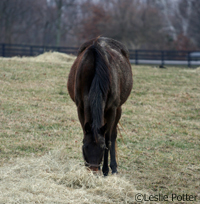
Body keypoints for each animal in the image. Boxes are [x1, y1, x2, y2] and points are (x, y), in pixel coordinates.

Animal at [67, 36, 133, 175]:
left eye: (102, 148)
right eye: (85, 147)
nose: (93, 171)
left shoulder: (112, 109)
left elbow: (108, 138)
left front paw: (106, 170)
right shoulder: (80, 108)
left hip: (118, 109)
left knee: (113, 135)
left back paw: (113, 168)